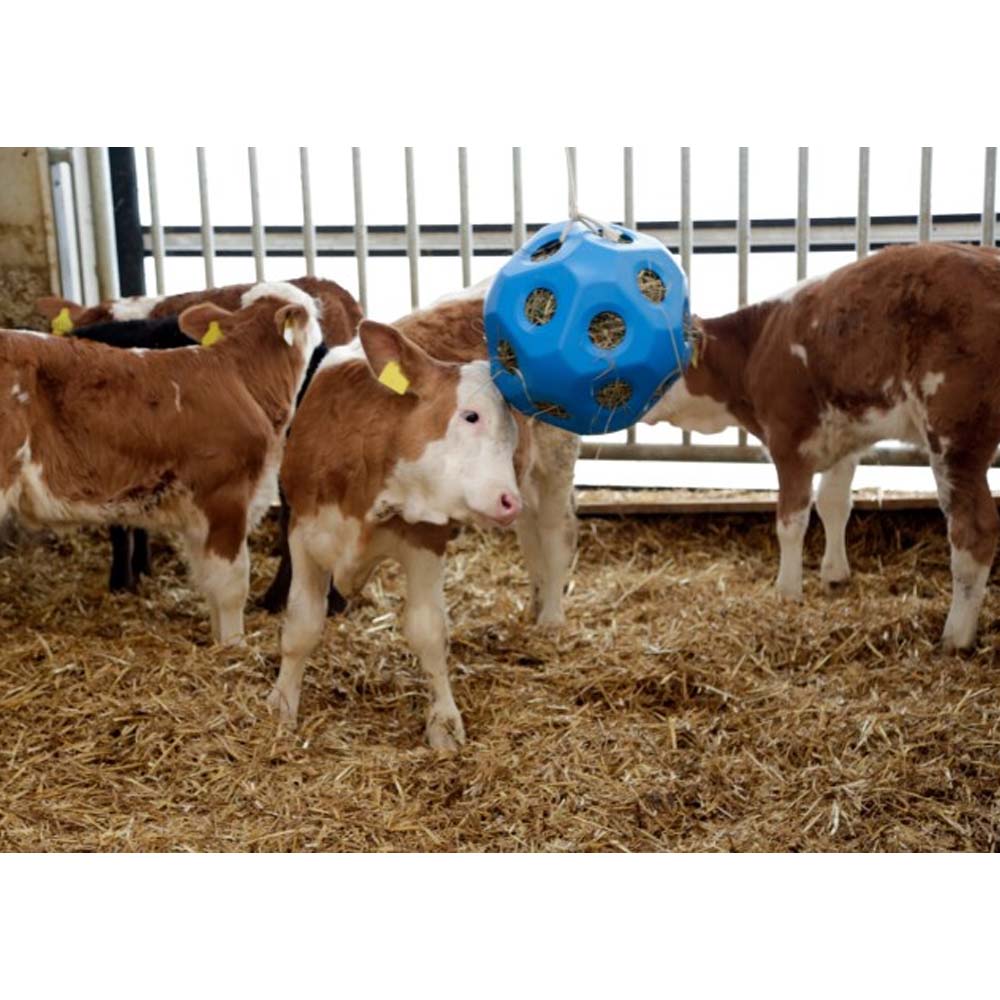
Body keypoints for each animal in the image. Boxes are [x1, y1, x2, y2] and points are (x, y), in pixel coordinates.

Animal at [0, 282, 320, 640]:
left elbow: (210, 584)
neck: (241, 379)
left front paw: (218, 641)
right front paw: (235, 644)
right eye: (309, 311)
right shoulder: (225, 497)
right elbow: (232, 585)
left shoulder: (198, 517)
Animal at [268, 286, 580, 748]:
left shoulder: (425, 541)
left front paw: (445, 723)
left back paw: (552, 622)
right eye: (470, 416)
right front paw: (282, 704)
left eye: (512, 432)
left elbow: (428, 631)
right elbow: (301, 626)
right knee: (531, 537)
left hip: (555, 461)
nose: (506, 500)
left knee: (555, 534)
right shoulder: (304, 533)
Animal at [640, 241, 1000, 648]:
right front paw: (834, 575)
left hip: (957, 434)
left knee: (974, 530)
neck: (753, 348)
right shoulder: (846, 436)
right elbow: (834, 503)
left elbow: (791, 521)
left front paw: (787, 593)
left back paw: (956, 637)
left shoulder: (788, 438)